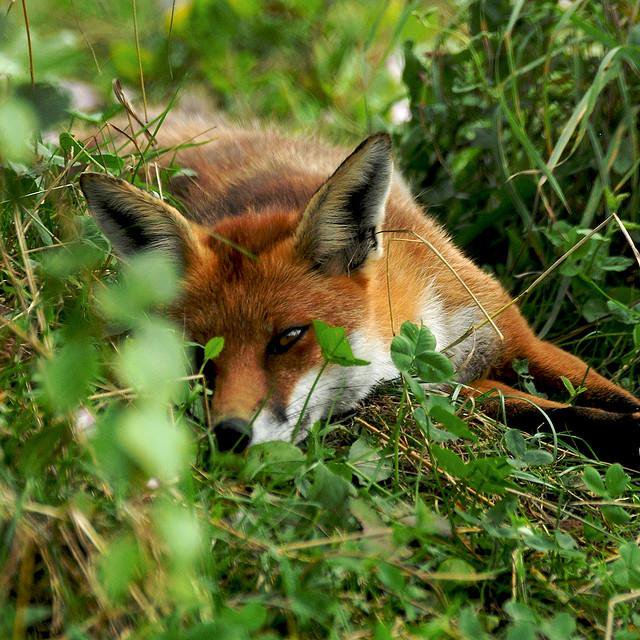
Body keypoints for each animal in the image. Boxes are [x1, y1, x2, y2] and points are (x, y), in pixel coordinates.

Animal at [79, 116, 640, 466]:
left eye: (288, 338)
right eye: (197, 354)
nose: (229, 436)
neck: (431, 328)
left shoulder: (514, 338)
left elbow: (600, 394)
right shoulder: (452, 392)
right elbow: (558, 415)